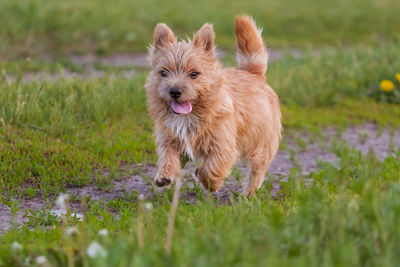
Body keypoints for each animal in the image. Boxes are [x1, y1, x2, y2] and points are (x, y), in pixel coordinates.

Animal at [145, 15, 282, 198]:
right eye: (163, 72)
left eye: (194, 74)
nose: (174, 91)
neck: (191, 114)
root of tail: (253, 74)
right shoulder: (168, 139)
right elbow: (168, 156)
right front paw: (165, 175)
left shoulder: (222, 146)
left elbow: (211, 168)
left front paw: (211, 183)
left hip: (261, 144)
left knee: (257, 171)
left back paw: (248, 193)